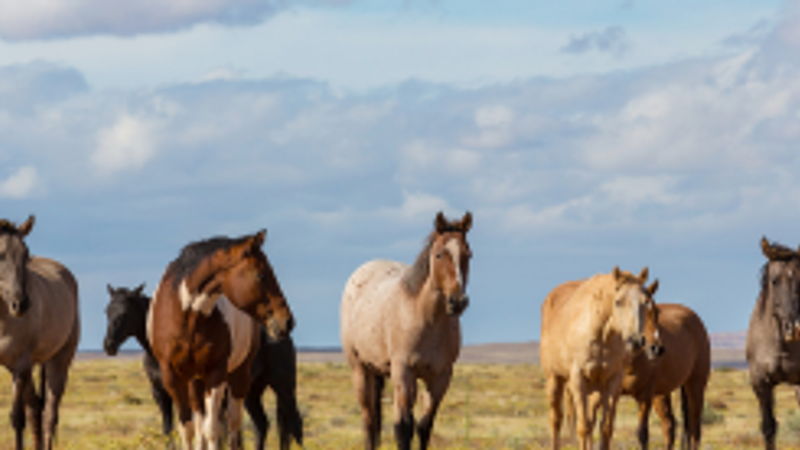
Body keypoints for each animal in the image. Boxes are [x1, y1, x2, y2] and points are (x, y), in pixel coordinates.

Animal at [0, 216, 80, 450]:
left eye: (26, 254)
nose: (21, 304)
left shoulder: (20, 365)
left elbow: (17, 418)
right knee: (35, 408)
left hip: (58, 360)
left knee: (49, 414)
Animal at [103, 283, 303, 450]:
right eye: (107, 311)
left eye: (125, 313)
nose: (109, 345)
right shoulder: (161, 393)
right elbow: (168, 429)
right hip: (251, 392)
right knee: (261, 424)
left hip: (283, 386)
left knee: (294, 422)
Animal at [148, 230, 294, 450]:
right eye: (261, 275)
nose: (287, 321)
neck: (187, 317)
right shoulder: (172, 376)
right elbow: (188, 429)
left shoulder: (216, 373)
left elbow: (213, 429)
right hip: (195, 381)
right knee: (201, 425)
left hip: (239, 376)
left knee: (233, 424)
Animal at [340, 211, 472, 450]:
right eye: (439, 254)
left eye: (469, 255)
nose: (458, 302)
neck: (427, 320)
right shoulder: (403, 372)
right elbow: (403, 428)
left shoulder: (440, 377)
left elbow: (424, 427)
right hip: (360, 370)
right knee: (369, 422)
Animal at [541, 267, 660, 450]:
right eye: (618, 302)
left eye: (645, 302)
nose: (635, 341)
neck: (601, 336)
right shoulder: (578, 380)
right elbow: (582, 428)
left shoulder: (614, 381)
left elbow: (606, 428)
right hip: (554, 379)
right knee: (556, 420)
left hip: (595, 389)